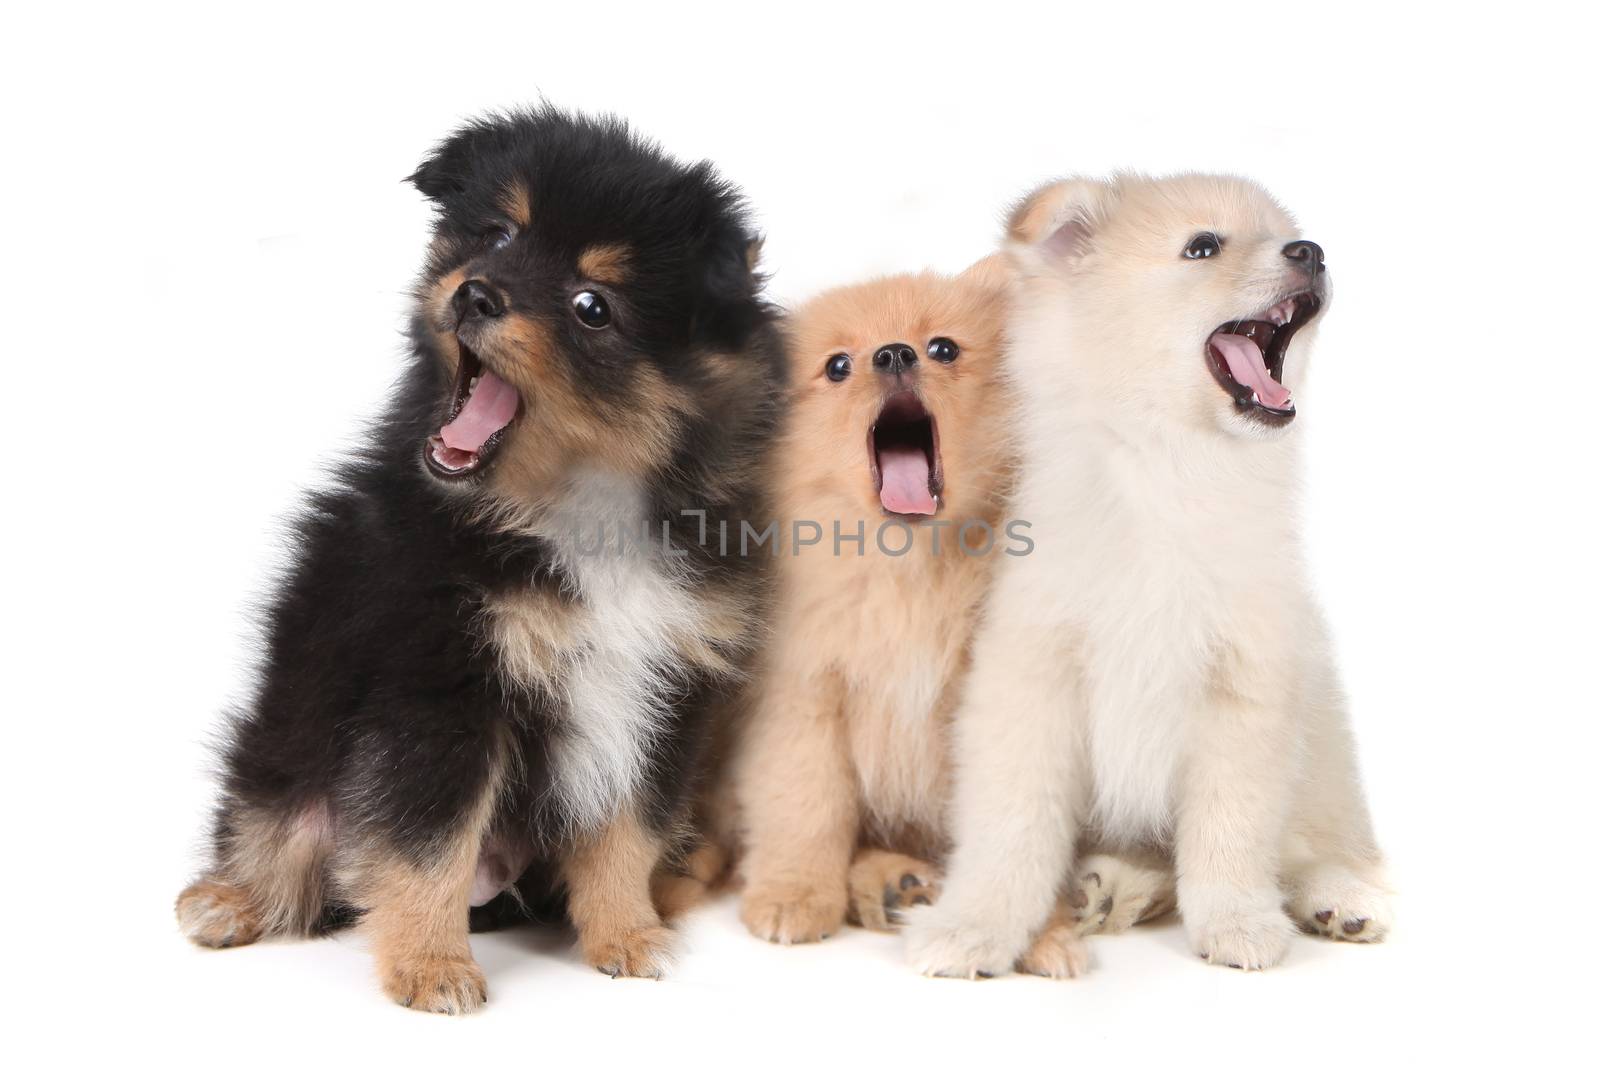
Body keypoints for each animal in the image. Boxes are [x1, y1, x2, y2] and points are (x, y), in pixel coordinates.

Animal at [178, 110, 784, 1017]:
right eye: (498, 234)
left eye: (592, 306)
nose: (476, 292)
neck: (575, 513)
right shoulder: (442, 686)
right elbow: (430, 840)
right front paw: (432, 966)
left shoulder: (666, 689)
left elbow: (627, 827)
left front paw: (627, 935)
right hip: (288, 754)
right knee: (279, 831)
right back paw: (224, 901)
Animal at [908, 175, 1395, 979]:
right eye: (1203, 247)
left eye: (1286, 233)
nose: (1311, 251)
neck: (1170, 464)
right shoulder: (1030, 684)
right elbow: (1012, 831)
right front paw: (975, 925)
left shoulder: (1246, 687)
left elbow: (1231, 832)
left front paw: (1235, 921)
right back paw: (1111, 886)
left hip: (1322, 736)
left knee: (1318, 841)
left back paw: (1339, 896)